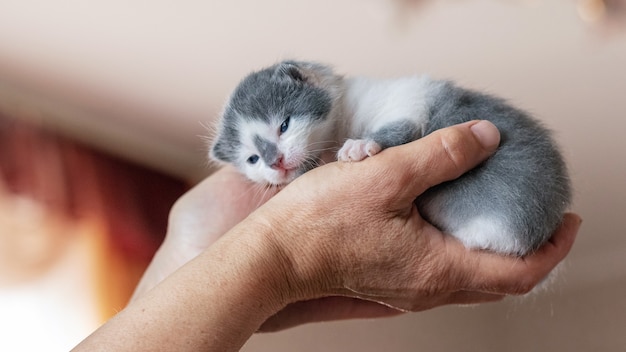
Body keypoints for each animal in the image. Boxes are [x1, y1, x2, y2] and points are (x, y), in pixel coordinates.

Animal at [211, 61, 572, 256]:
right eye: (253, 160)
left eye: (284, 125)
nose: (275, 163)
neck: (337, 128)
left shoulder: (404, 101)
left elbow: (401, 124)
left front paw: (361, 145)